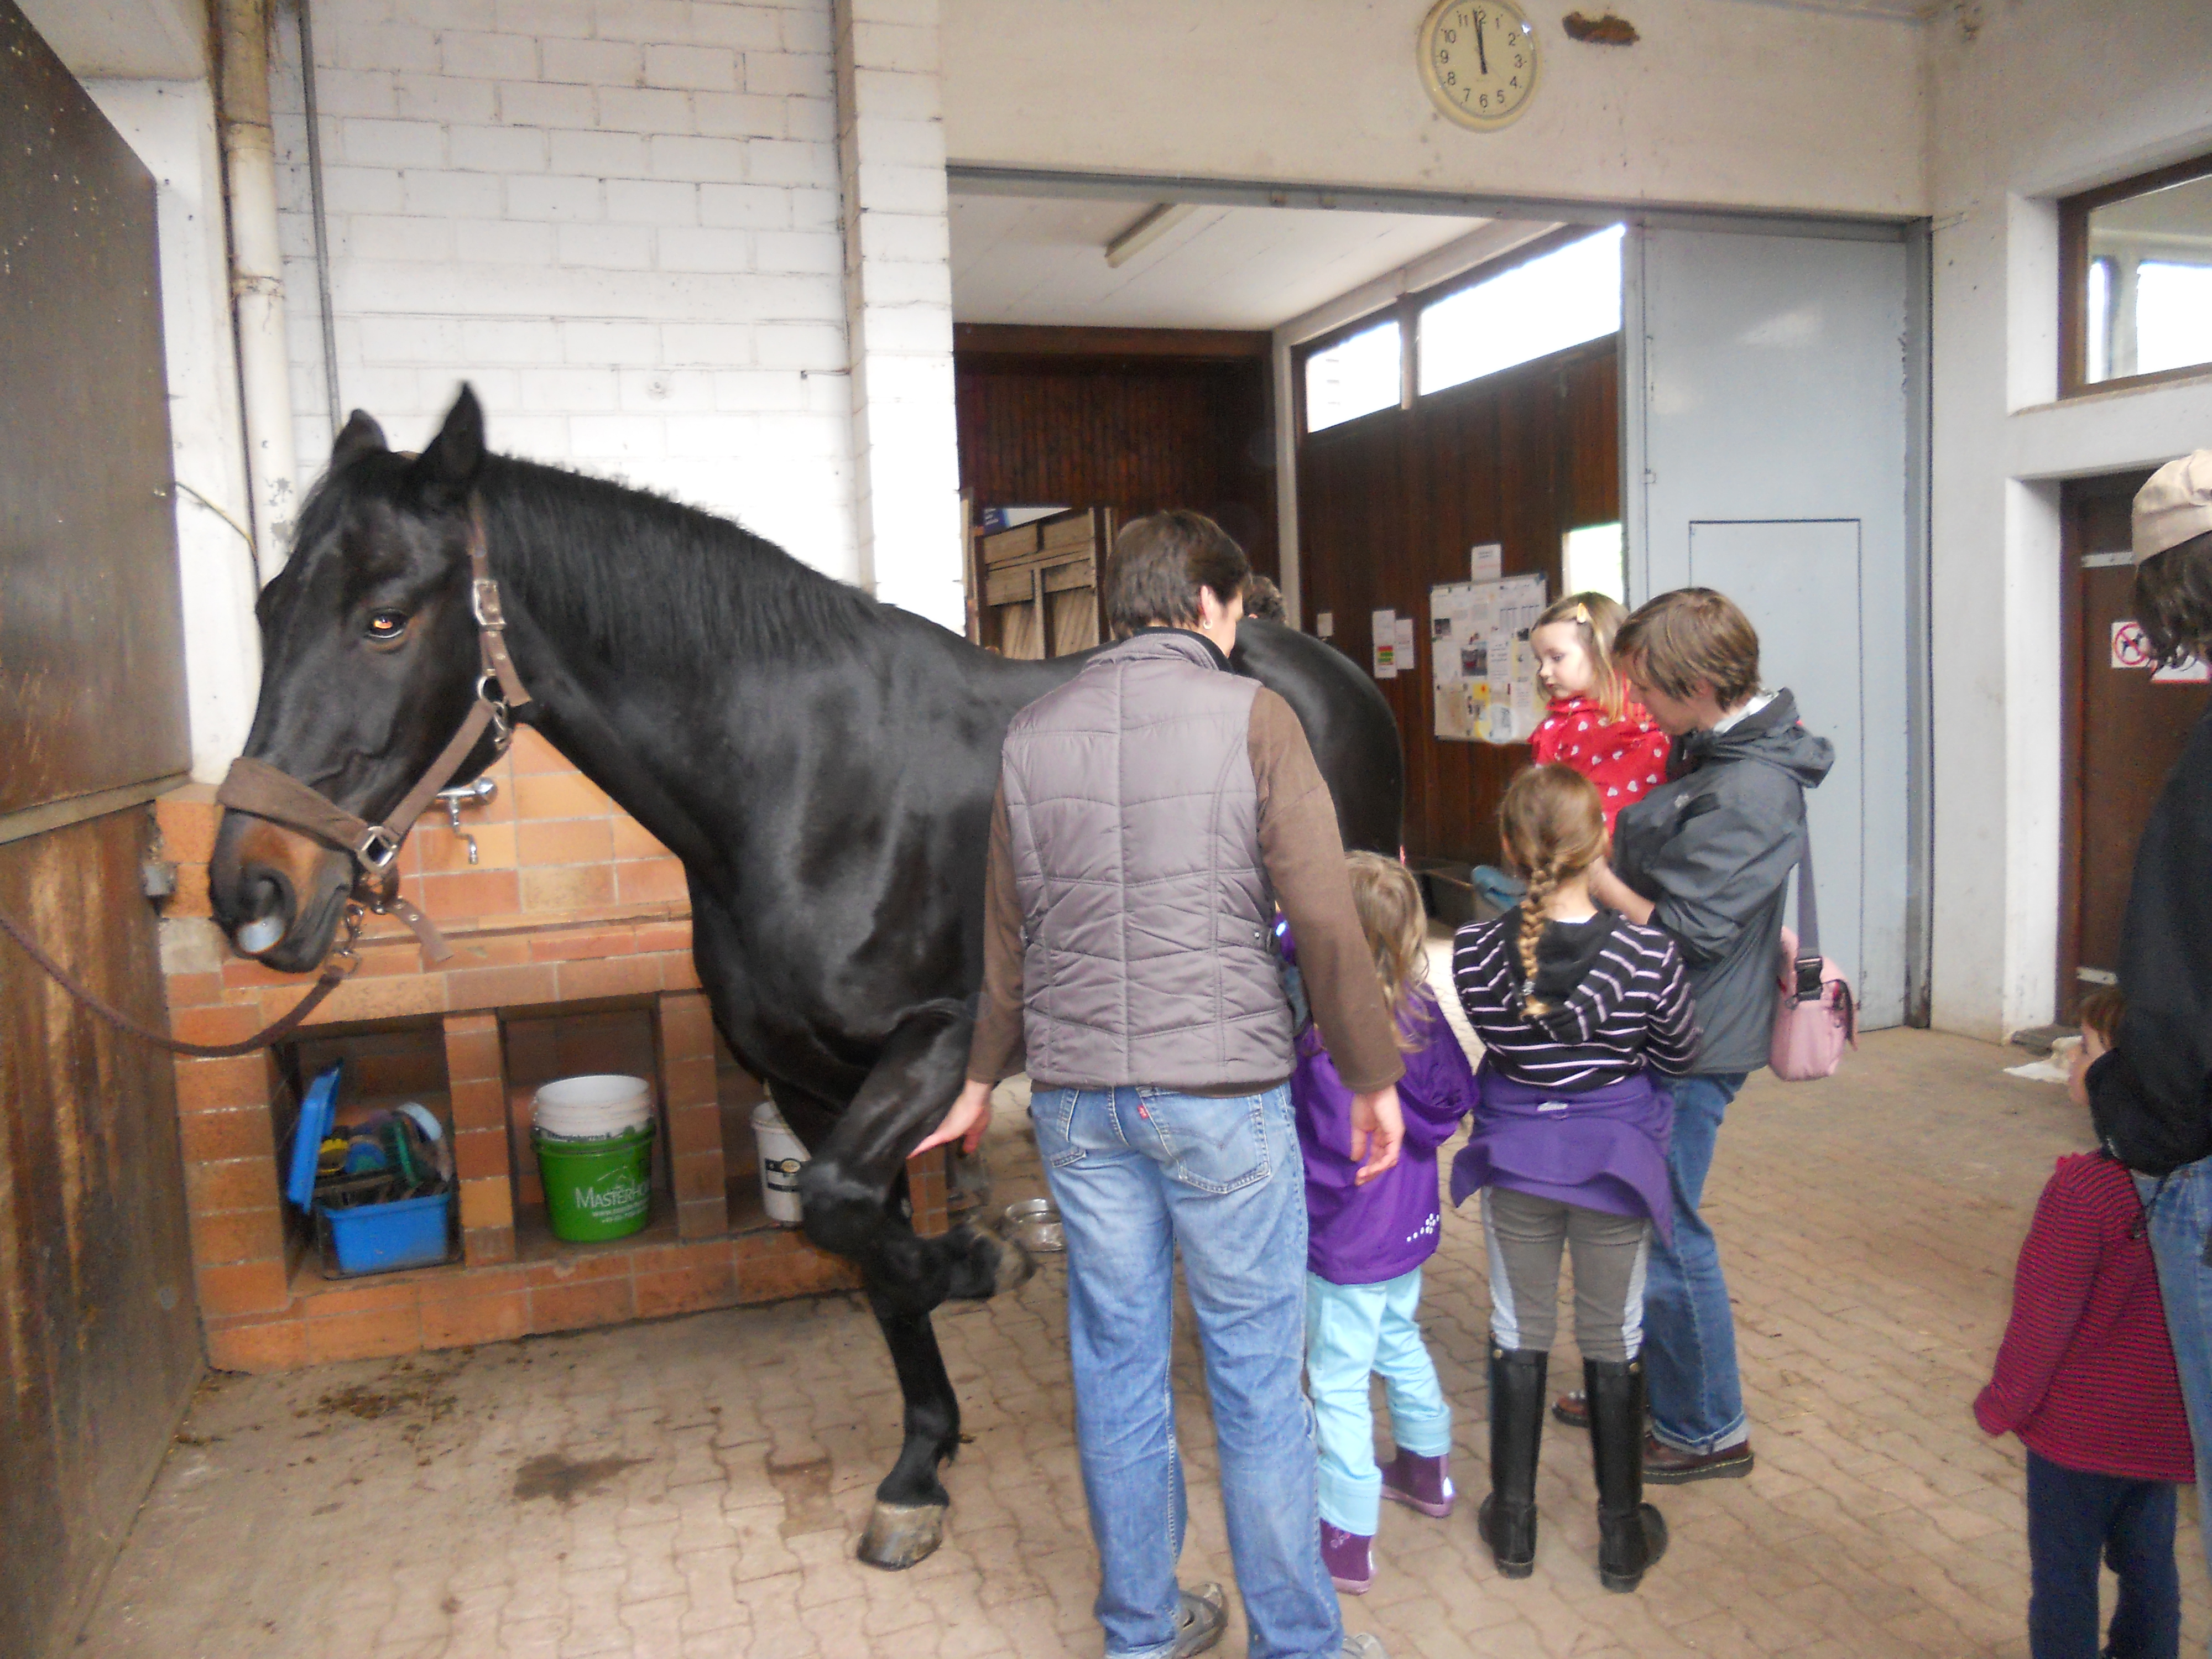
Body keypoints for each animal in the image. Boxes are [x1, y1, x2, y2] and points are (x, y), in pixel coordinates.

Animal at [208, 386, 1404, 1569]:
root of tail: (1319, 665)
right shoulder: (808, 1080)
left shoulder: (941, 1042)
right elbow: (861, 1243)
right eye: (267, 606)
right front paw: (922, 1462)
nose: (248, 891)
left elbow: (845, 1212)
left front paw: (985, 1262)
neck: (806, 783)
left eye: (384, 618)